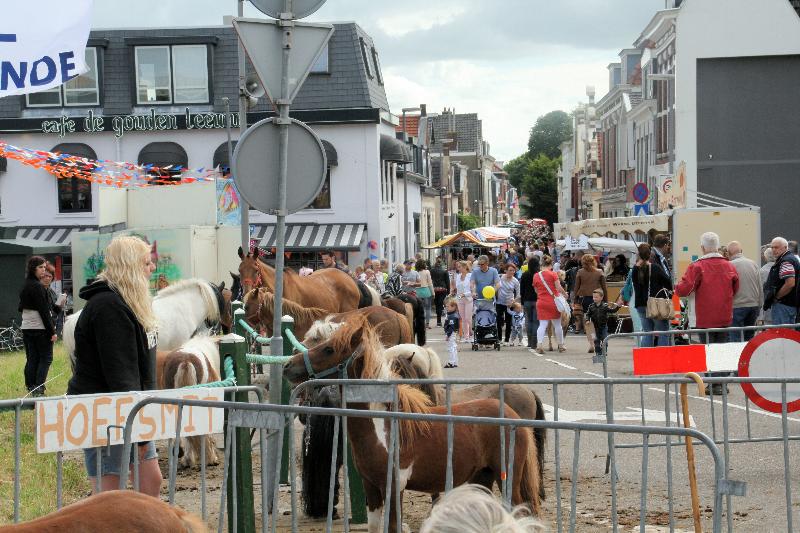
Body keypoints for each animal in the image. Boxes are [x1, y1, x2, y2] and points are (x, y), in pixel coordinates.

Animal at [282, 314, 544, 528]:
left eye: (328, 349)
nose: (287, 366)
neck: (384, 426)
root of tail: (511, 414)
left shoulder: (393, 486)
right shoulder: (371, 488)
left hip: (507, 476)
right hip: (483, 476)